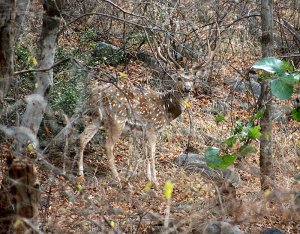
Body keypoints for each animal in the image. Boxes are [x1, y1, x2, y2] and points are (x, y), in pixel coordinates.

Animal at [77, 43, 218, 184]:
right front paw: (155, 181)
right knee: (108, 146)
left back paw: (81, 175)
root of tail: (97, 93)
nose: (187, 89)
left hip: (97, 118)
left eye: (193, 79)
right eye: (179, 78)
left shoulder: (142, 132)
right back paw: (117, 178)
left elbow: (144, 154)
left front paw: (147, 177)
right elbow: (151, 154)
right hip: (117, 118)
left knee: (83, 138)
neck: (167, 109)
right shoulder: (152, 127)